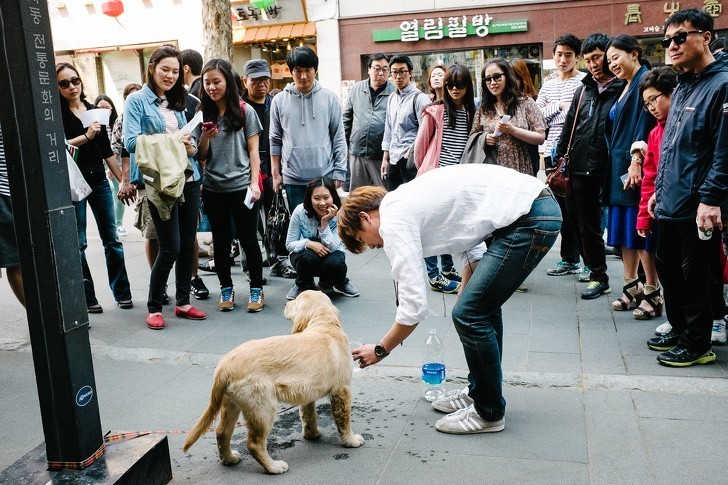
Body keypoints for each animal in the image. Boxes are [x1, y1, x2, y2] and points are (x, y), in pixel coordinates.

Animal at [182, 290, 364, 474]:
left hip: (232, 402)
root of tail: (224, 366)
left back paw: (229, 459)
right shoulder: (341, 389)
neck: (325, 324)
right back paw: (274, 467)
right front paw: (351, 440)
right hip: (263, 406)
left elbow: (309, 415)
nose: (285, 304)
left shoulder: (308, 392)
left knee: (222, 432)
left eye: (295, 302)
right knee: (254, 443)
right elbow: (344, 419)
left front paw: (312, 434)